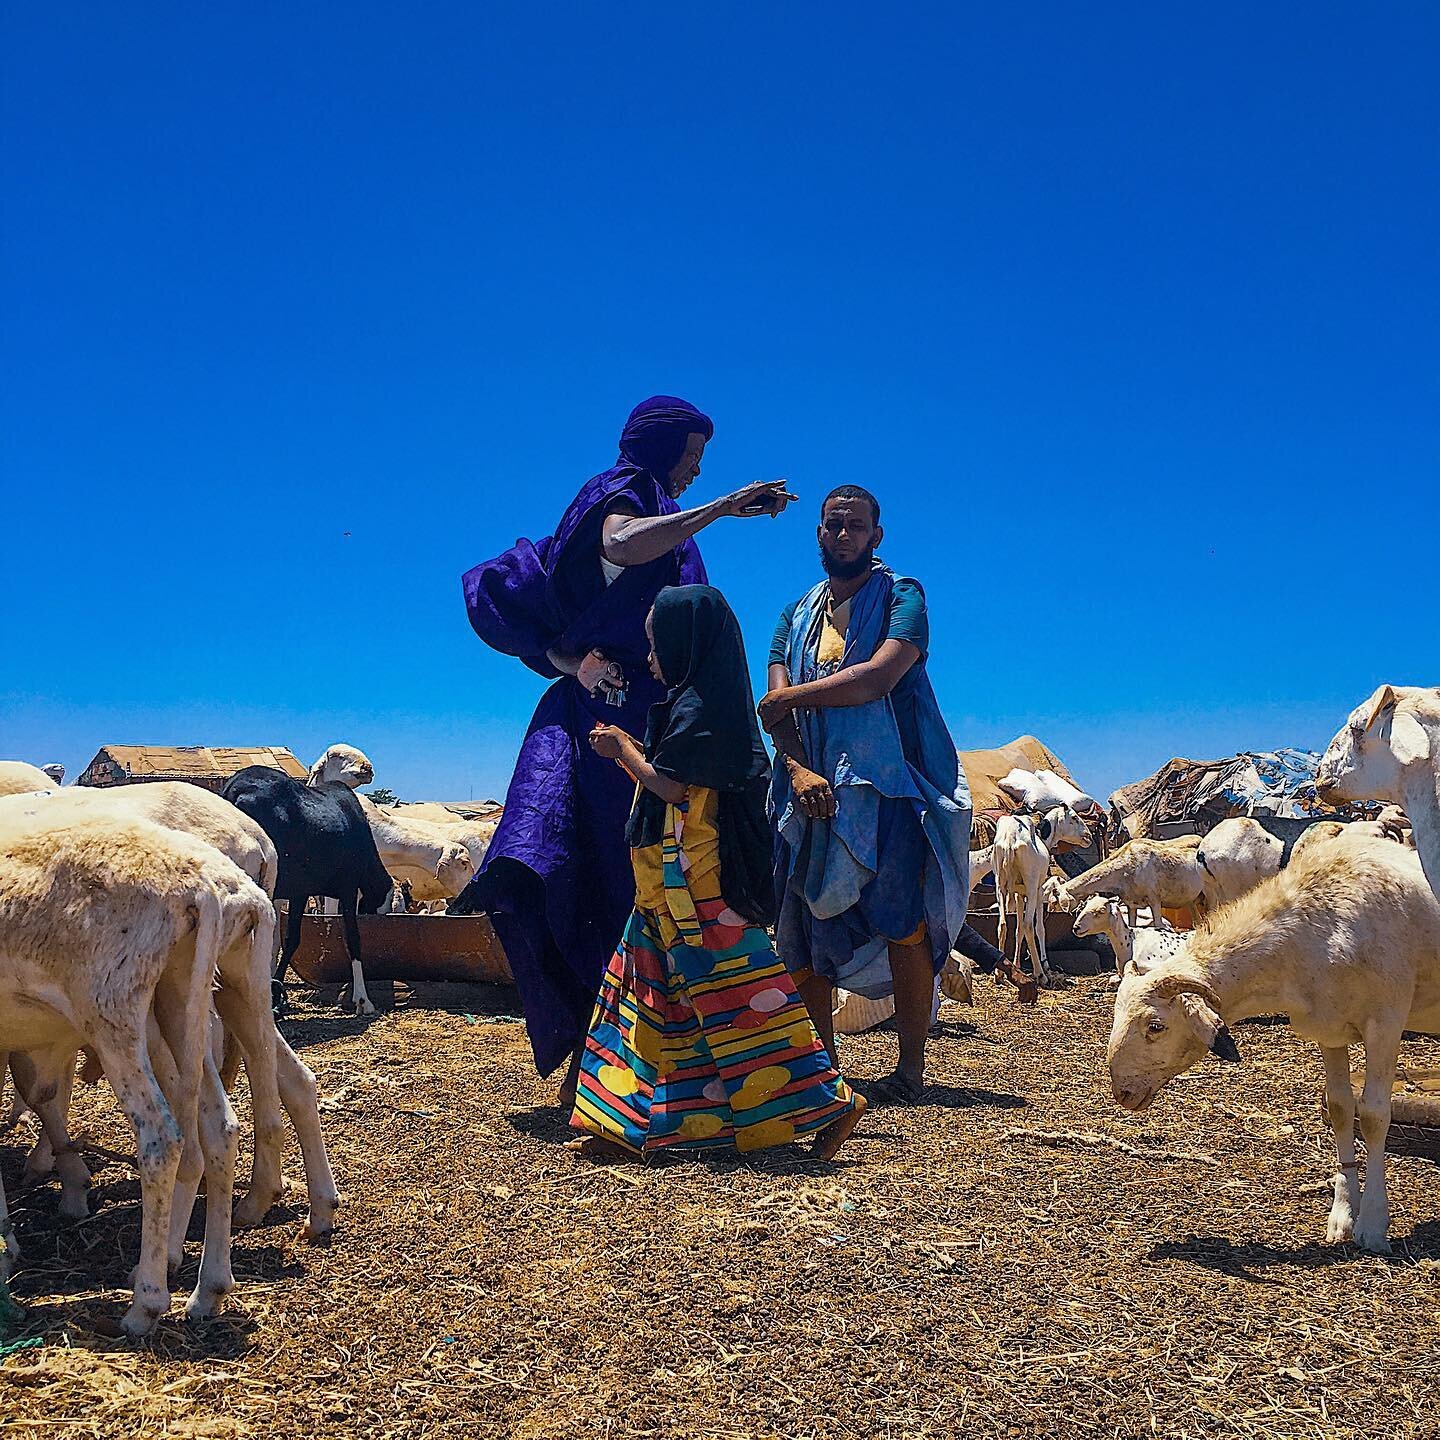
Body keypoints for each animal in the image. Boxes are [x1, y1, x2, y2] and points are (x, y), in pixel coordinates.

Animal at [218, 766, 391, 1013]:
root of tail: (236, 789)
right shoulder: (348, 889)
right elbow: (353, 939)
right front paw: (363, 1000)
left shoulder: (300, 893)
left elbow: (291, 940)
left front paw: (277, 995)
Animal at [1105, 840, 1434, 1255]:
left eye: (1155, 1026)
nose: (1122, 1091)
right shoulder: (1330, 1029)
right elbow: (1341, 1109)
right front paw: (1343, 1216)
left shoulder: (1385, 1024)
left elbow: (1373, 1116)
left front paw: (1373, 1224)